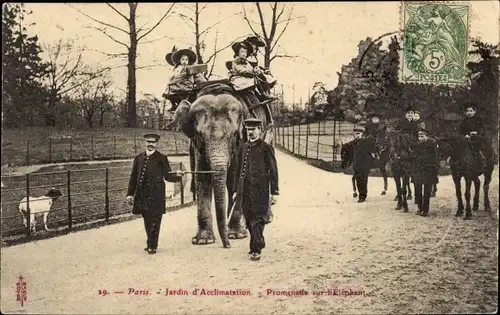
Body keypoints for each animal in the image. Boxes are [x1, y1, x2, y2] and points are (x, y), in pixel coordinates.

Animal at [172, 91, 252, 249]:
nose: (227, 246)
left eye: (235, 134)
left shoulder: (241, 146)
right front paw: (203, 240)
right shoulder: (198, 149)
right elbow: (202, 180)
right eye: (200, 135)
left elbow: (239, 178)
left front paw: (236, 235)